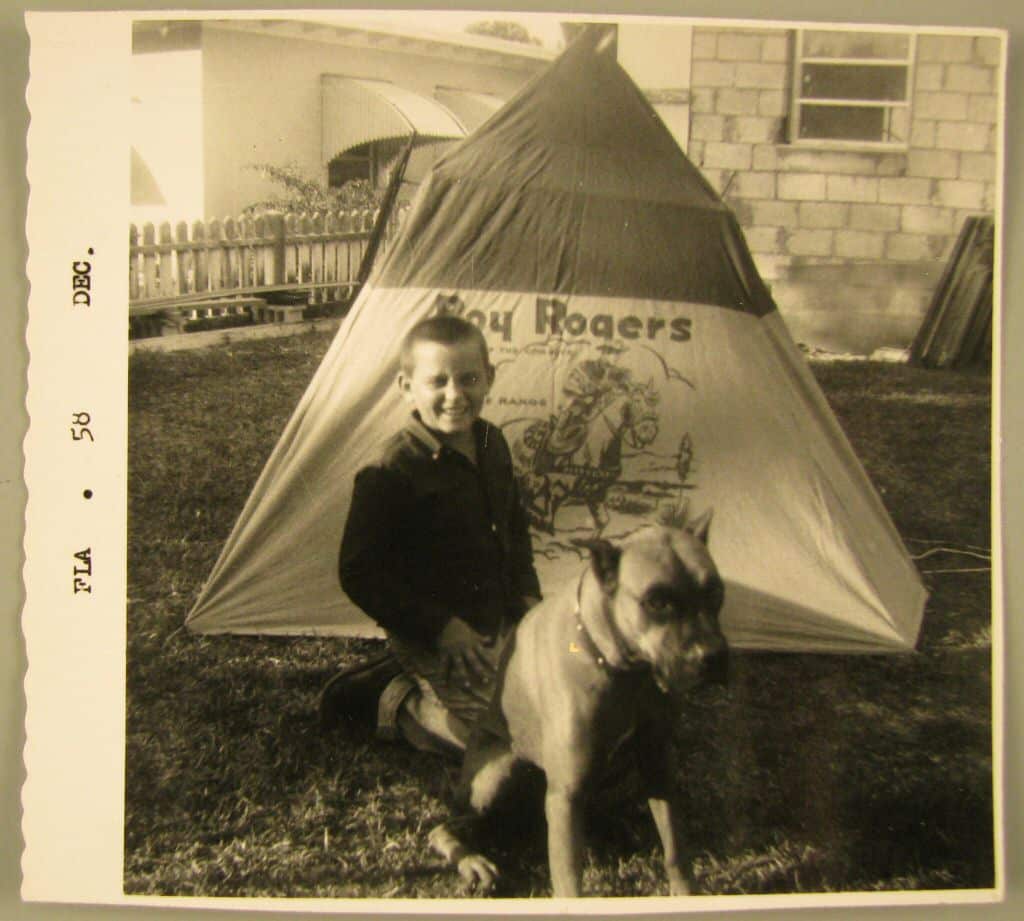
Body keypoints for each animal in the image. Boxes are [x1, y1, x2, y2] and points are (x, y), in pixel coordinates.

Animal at [428, 508, 724, 897]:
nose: (712, 657)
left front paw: (684, 893)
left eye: (716, 591)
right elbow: (570, 883)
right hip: (499, 774)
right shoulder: (566, 796)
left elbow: (675, 846)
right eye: (656, 601)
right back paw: (472, 861)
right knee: (447, 827)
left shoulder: (658, 762)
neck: (623, 669)